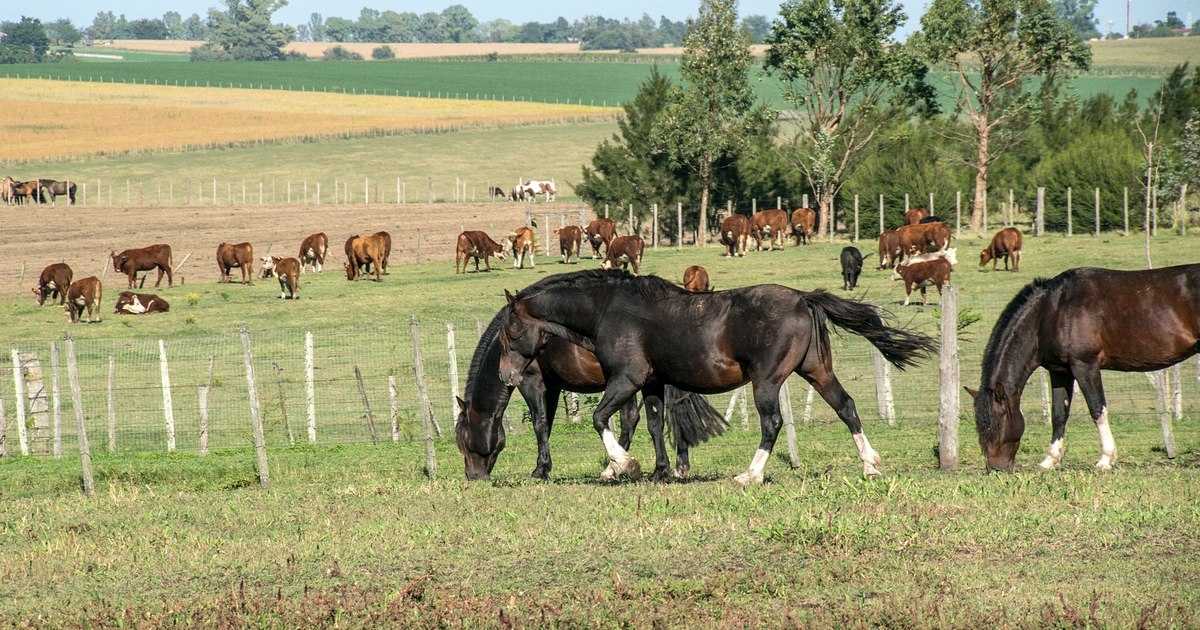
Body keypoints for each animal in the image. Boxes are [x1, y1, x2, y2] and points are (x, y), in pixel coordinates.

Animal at [453, 307, 724, 480]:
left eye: (464, 441)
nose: (472, 476)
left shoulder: (531, 382)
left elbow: (539, 424)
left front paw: (540, 470)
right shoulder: (553, 387)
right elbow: (547, 424)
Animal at [496, 268, 936, 482]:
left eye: (511, 331)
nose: (506, 376)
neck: (609, 310)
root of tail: (803, 298)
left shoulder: (626, 379)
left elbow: (600, 418)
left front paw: (624, 466)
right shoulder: (651, 383)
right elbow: (654, 424)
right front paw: (660, 472)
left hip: (767, 381)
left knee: (772, 423)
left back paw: (750, 475)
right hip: (816, 371)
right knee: (846, 407)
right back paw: (870, 465)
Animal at [964, 265, 1200, 470]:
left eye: (994, 424)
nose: (995, 468)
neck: (1052, 311)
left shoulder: (1085, 366)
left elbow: (1097, 409)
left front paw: (1105, 459)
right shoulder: (1060, 371)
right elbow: (1059, 414)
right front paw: (1050, 460)